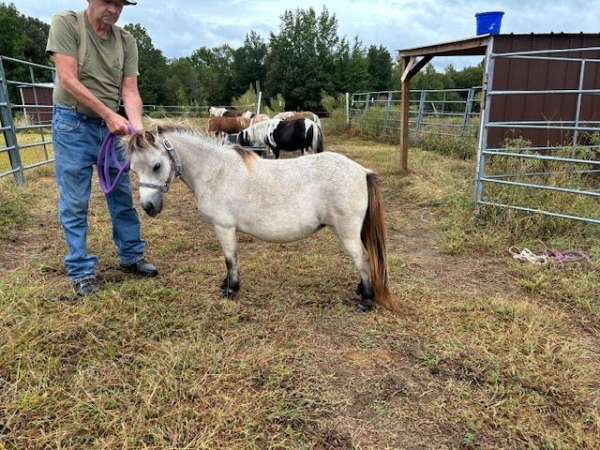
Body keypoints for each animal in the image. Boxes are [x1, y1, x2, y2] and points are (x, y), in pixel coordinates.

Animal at [125, 125, 400, 312]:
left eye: (157, 166)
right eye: (133, 169)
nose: (148, 207)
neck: (216, 172)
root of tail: (363, 171)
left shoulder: (224, 227)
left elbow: (230, 259)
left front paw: (231, 289)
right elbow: (230, 259)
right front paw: (226, 285)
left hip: (348, 232)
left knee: (363, 259)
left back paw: (366, 300)